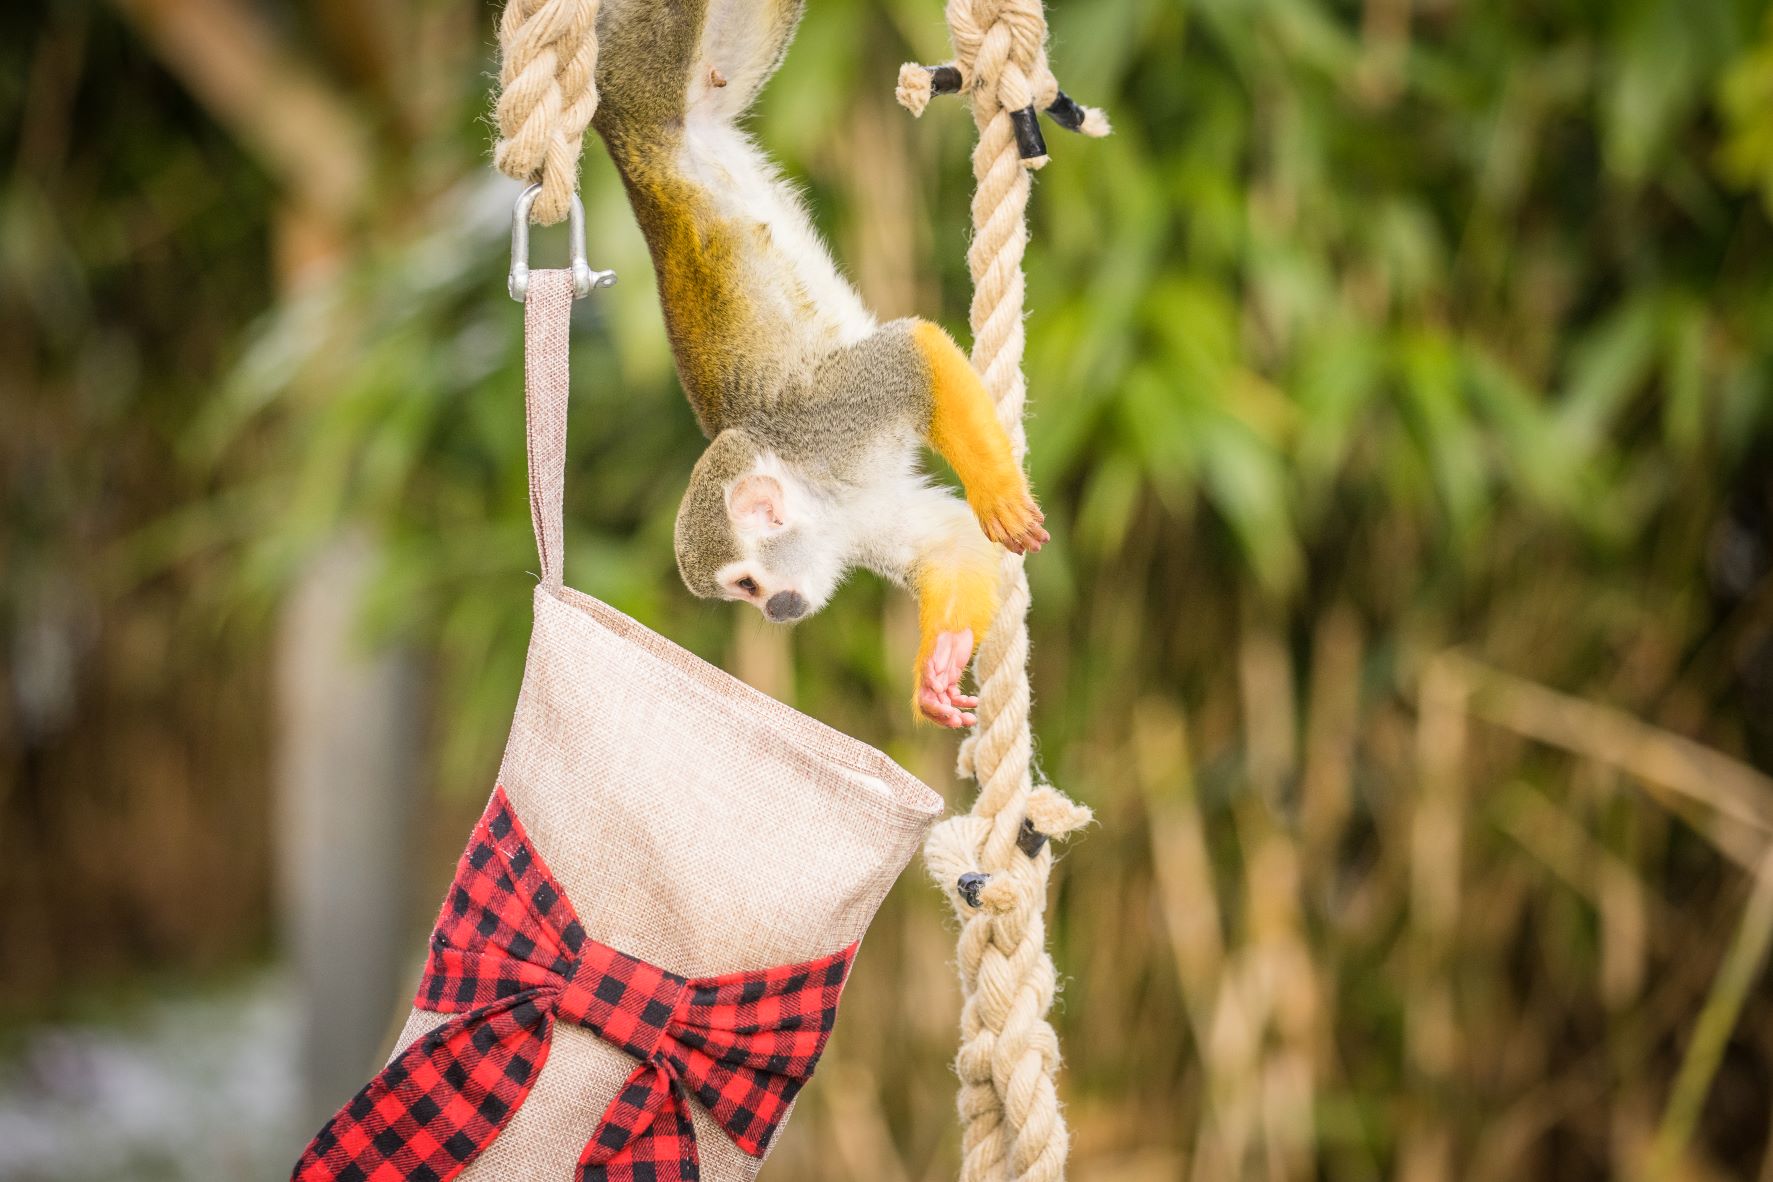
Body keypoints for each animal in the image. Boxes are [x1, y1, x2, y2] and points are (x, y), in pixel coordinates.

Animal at [588, 0, 1042, 726]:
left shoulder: (831, 424)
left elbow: (909, 351)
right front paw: (936, 669)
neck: (817, 491)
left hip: (639, 78)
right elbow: (949, 541)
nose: (775, 612)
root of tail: (632, 146)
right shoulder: (854, 522)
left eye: (747, 583)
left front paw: (996, 495)